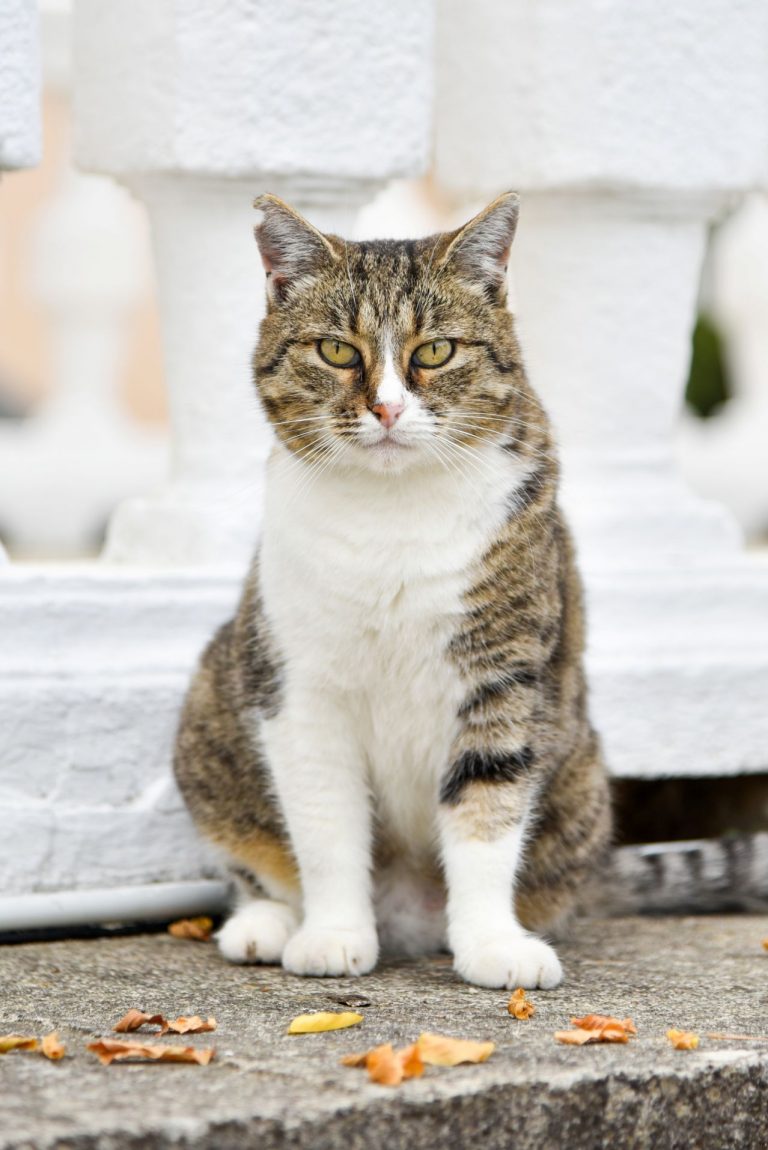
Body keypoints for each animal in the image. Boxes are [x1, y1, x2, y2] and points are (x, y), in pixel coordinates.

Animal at [172, 188, 611, 989]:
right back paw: (266, 926)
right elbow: (324, 826)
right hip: (211, 702)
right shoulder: (299, 691)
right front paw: (332, 935)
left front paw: (492, 945)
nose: (386, 409)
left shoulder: (503, 680)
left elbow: (486, 813)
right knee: (258, 866)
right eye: (337, 351)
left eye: (434, 351)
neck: (392, 514)